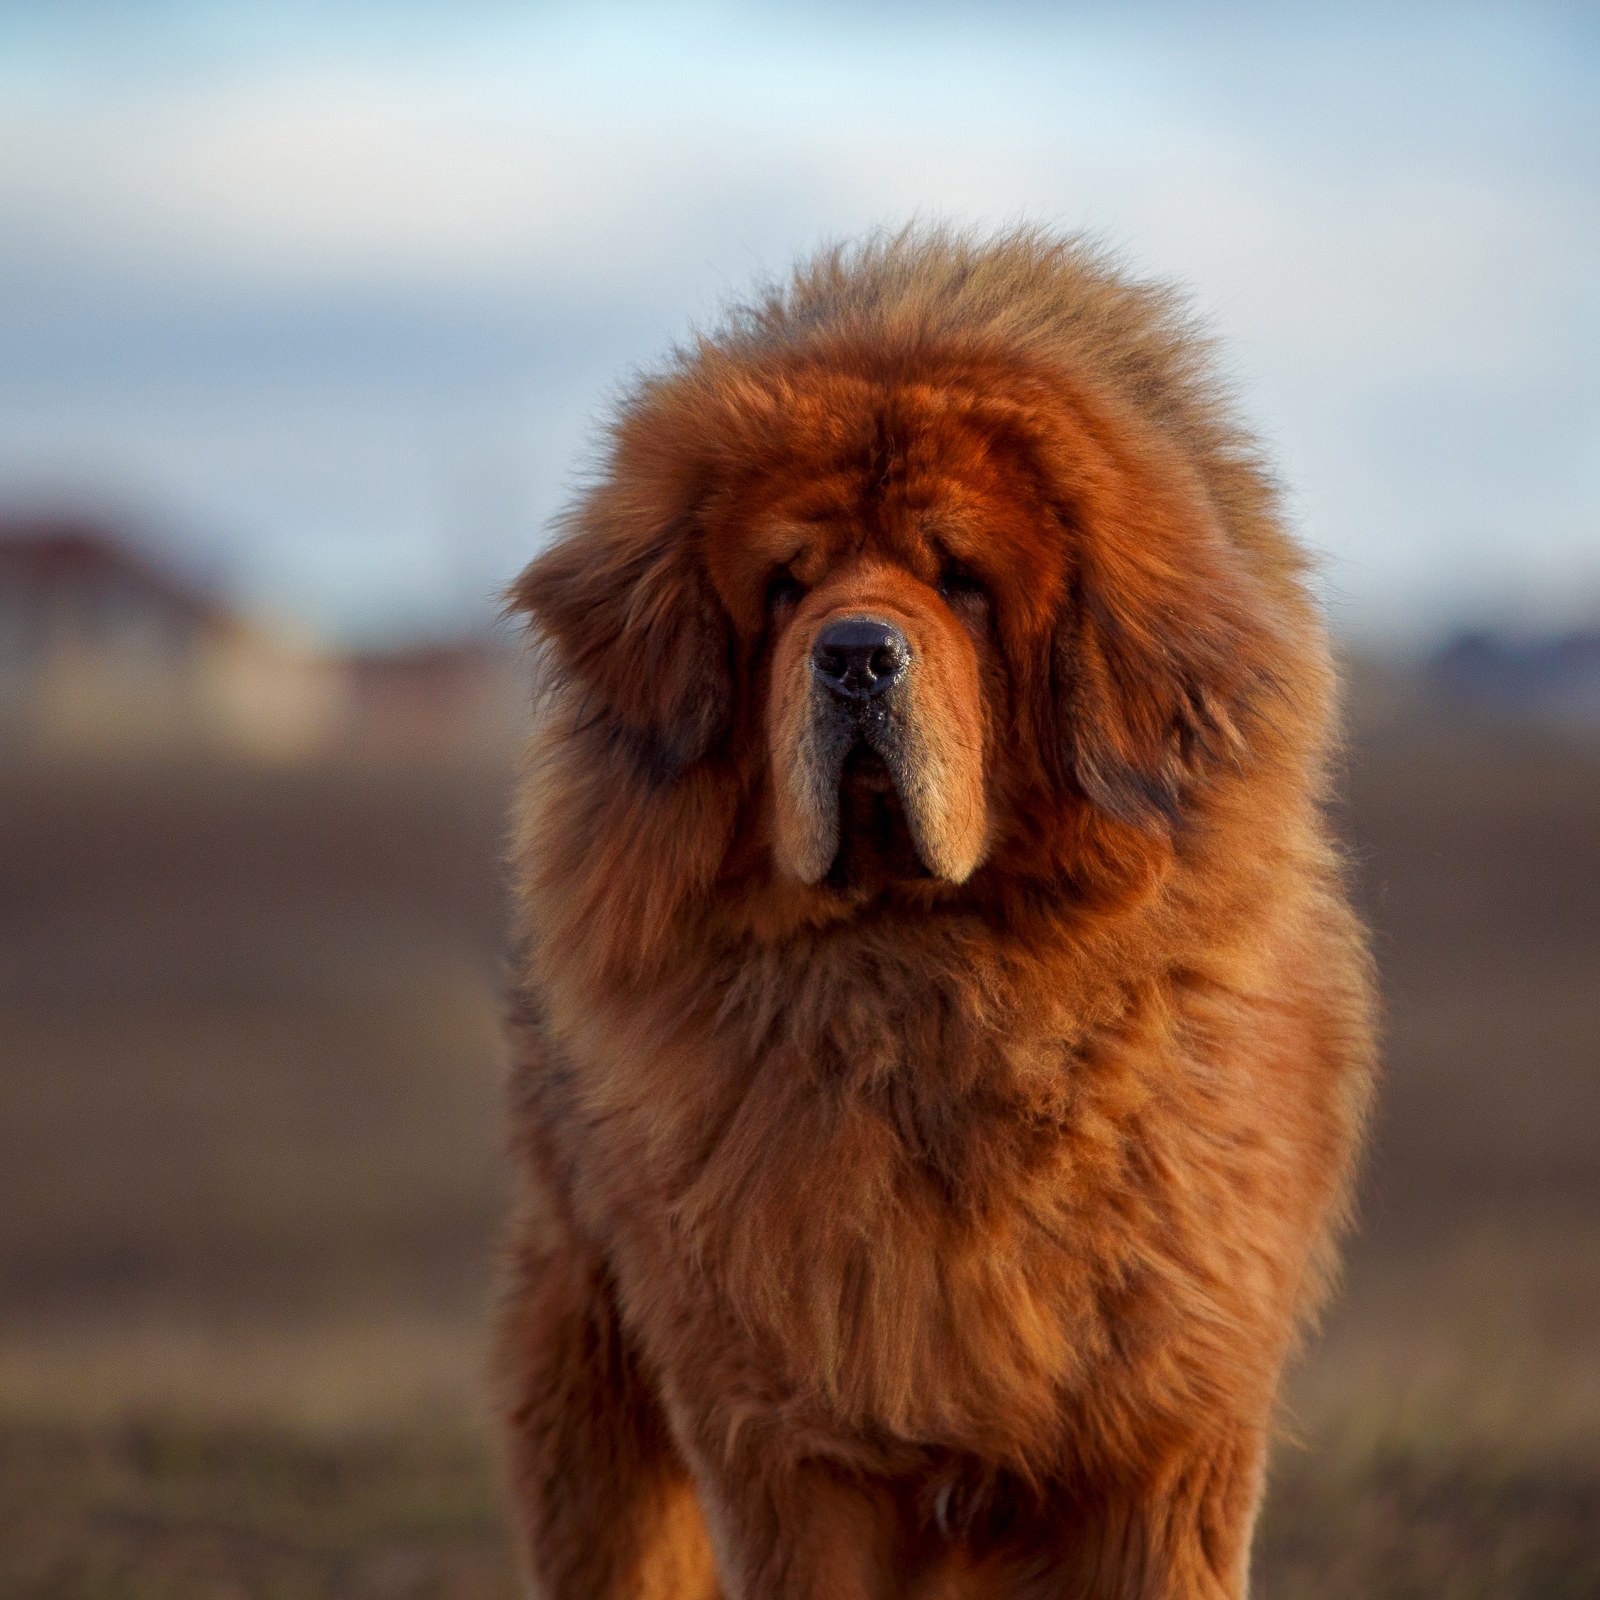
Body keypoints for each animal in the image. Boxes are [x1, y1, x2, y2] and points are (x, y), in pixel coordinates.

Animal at [496, 228, 1376, 1600]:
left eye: (961, 582)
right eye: (785, 585)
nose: (856, 651)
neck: (930, 991)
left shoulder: (1164, 1433)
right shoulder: (789, 1441)